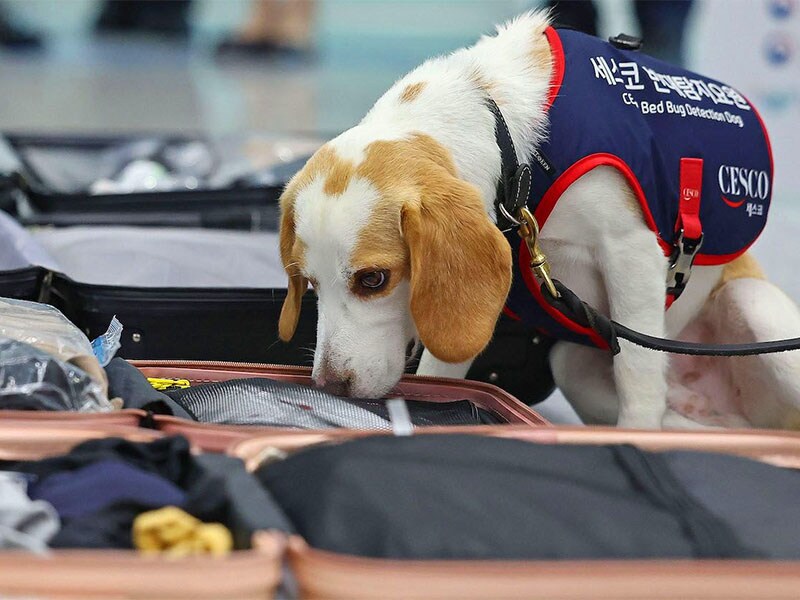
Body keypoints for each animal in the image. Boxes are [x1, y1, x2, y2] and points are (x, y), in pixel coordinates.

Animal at [276, 11, 800, 428]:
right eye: (310, 284)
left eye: (374, 279)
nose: (329, 386)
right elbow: (444, 374)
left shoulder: (630, 252)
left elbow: (638, 374)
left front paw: (637, 433)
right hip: (572, 362)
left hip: (756, 309)